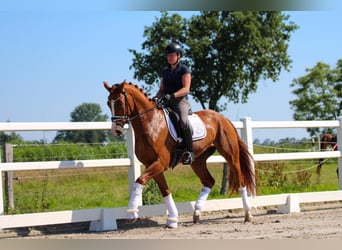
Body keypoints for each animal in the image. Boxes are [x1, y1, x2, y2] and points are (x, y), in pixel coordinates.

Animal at [104, 81, 256, 228]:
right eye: (108, 103)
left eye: (120, 103)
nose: (116, 130)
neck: (151, 123)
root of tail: (222, 118)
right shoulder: (152, 165)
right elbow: (165, 191)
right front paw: (172, 219)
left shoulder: (160, 163)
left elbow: (139, 181)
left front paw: (131, 213)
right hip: (197, 161)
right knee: (209, 181)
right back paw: (197, 213)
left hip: (230, 155)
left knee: (241, 180)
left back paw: (248, 214)